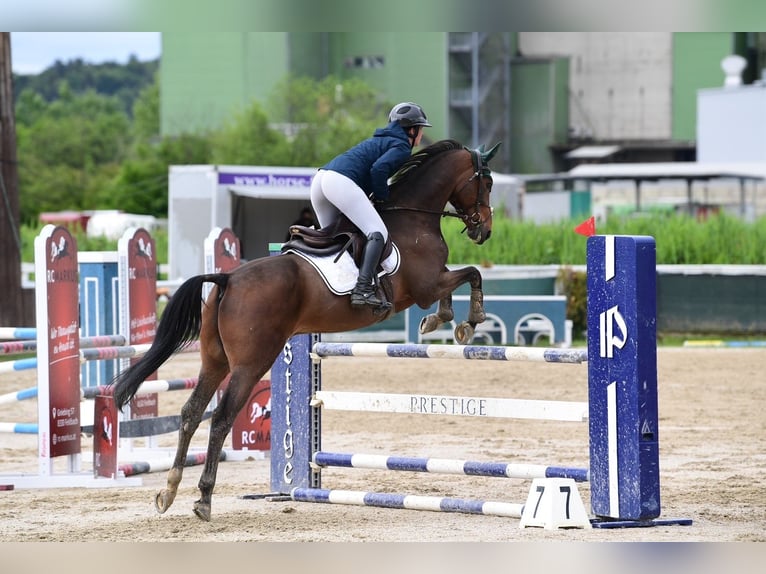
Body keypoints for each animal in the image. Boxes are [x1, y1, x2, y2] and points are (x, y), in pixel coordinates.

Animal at [111, 139, 501, 521]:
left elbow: (460, 280)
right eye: (487, 182)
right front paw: (469, 320)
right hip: (251, 363)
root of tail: (228, 279)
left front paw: (442, 321)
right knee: (221, 418)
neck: (414, 217)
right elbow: (470, 274)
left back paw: (169, 491)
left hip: (215, 360)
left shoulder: (432, 282)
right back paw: (203, 499)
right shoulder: (426, 285)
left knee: (191, 412)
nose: (484, 230)